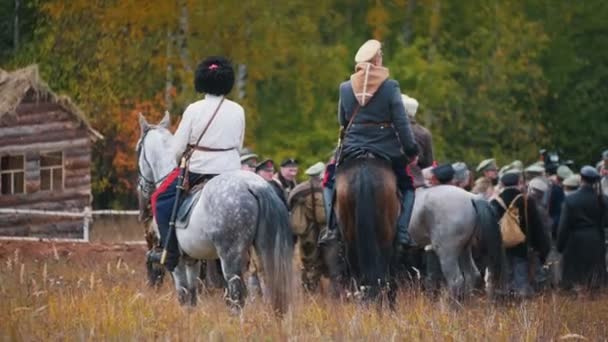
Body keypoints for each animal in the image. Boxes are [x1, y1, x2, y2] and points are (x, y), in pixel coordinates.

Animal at [137, 114, 292, 312]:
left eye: (138, 149)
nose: (143, 187)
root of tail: (253, 186)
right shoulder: (191, 259)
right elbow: (192, 295)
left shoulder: (177, 262)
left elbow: (183, 294)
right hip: (262, 252)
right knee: (267, 286)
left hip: (230, 257)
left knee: (236, 295)